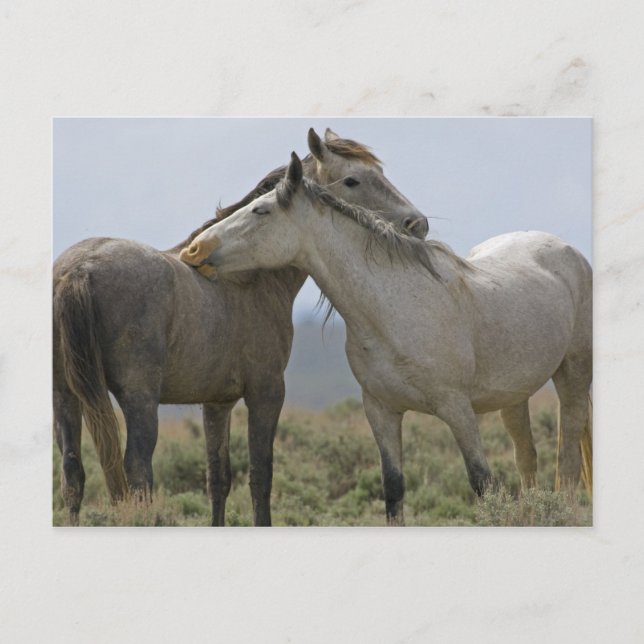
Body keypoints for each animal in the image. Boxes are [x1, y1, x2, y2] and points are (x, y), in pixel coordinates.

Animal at [53, 128, 429, 526]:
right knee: (137, 472)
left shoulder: (216, 403)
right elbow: (261, 476)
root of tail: (79, 268)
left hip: (65, 397)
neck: (247, 276)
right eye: (353, 179)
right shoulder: (266, 392)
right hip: (139, 400)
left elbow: (218, 477)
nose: (417, 224)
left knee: (73, 472)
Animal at [181, 152, 593, 526]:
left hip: (572, 375)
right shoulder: (381, 410)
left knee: (568, 460)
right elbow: (393, 488)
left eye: (260, 211)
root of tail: (569, 252)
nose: (194, 250)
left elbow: (482, 485)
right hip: (514, 397)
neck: (394, 309)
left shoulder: (457, 409)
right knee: (528, 458)